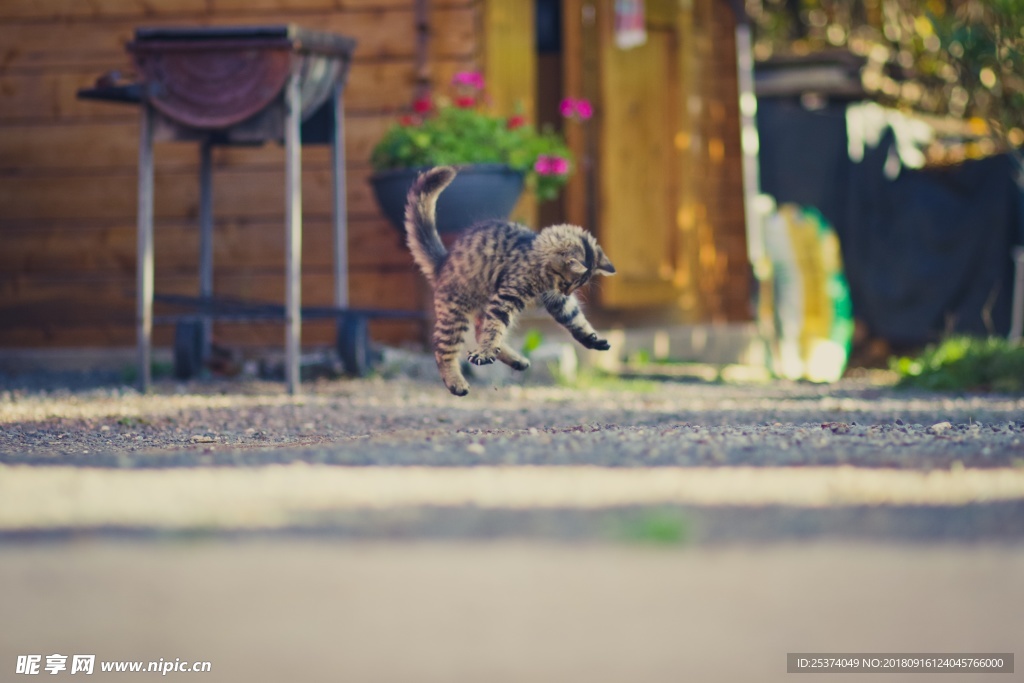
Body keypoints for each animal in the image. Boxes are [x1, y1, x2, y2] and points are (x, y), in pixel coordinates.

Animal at [403, 164, 614, 395]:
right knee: (444, 348)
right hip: (455, 313)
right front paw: (484, 353)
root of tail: (442, 262)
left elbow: (576, 320)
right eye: (568, 283)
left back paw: (516, 360)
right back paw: (457, 383)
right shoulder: (507, 297)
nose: (567, 292)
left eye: (576, 285)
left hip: (480, 307)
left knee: (481, 332)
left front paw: (594, 339)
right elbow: (494, 329)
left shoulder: (557, 301)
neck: (536, 257)